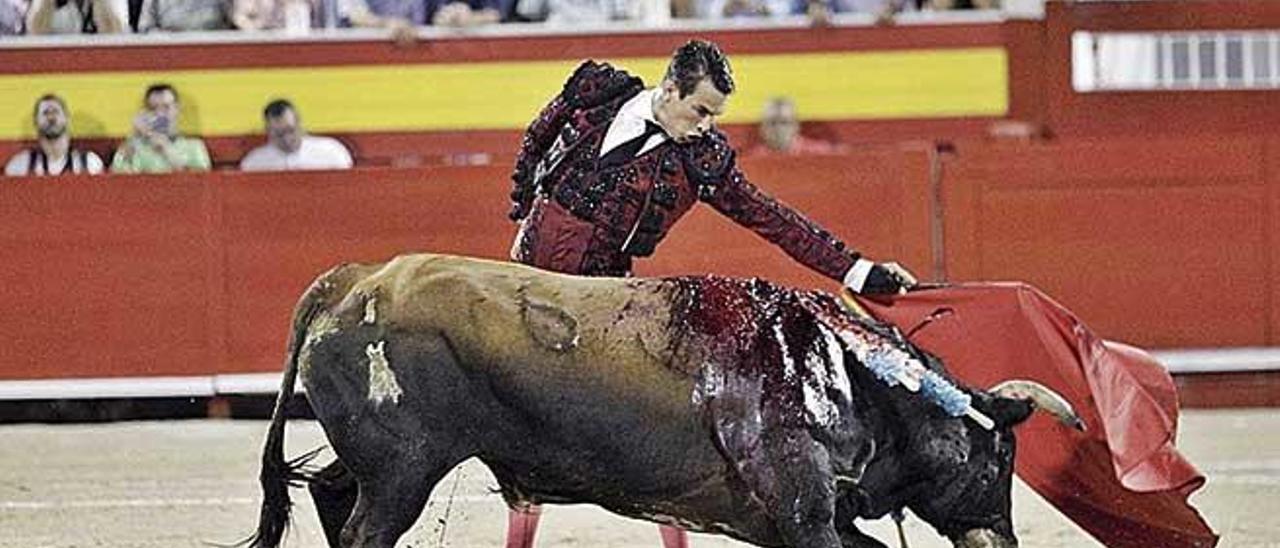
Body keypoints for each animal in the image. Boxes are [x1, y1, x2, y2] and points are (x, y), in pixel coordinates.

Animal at [247, 253, 1080, 548]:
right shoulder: (804, 512)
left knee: (330, 494)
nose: (1004, 538)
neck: (853, 378)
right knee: (364, 529)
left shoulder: (791, 523)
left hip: (383, 465)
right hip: (404, 472)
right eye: (1001, 456)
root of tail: (355, 280)